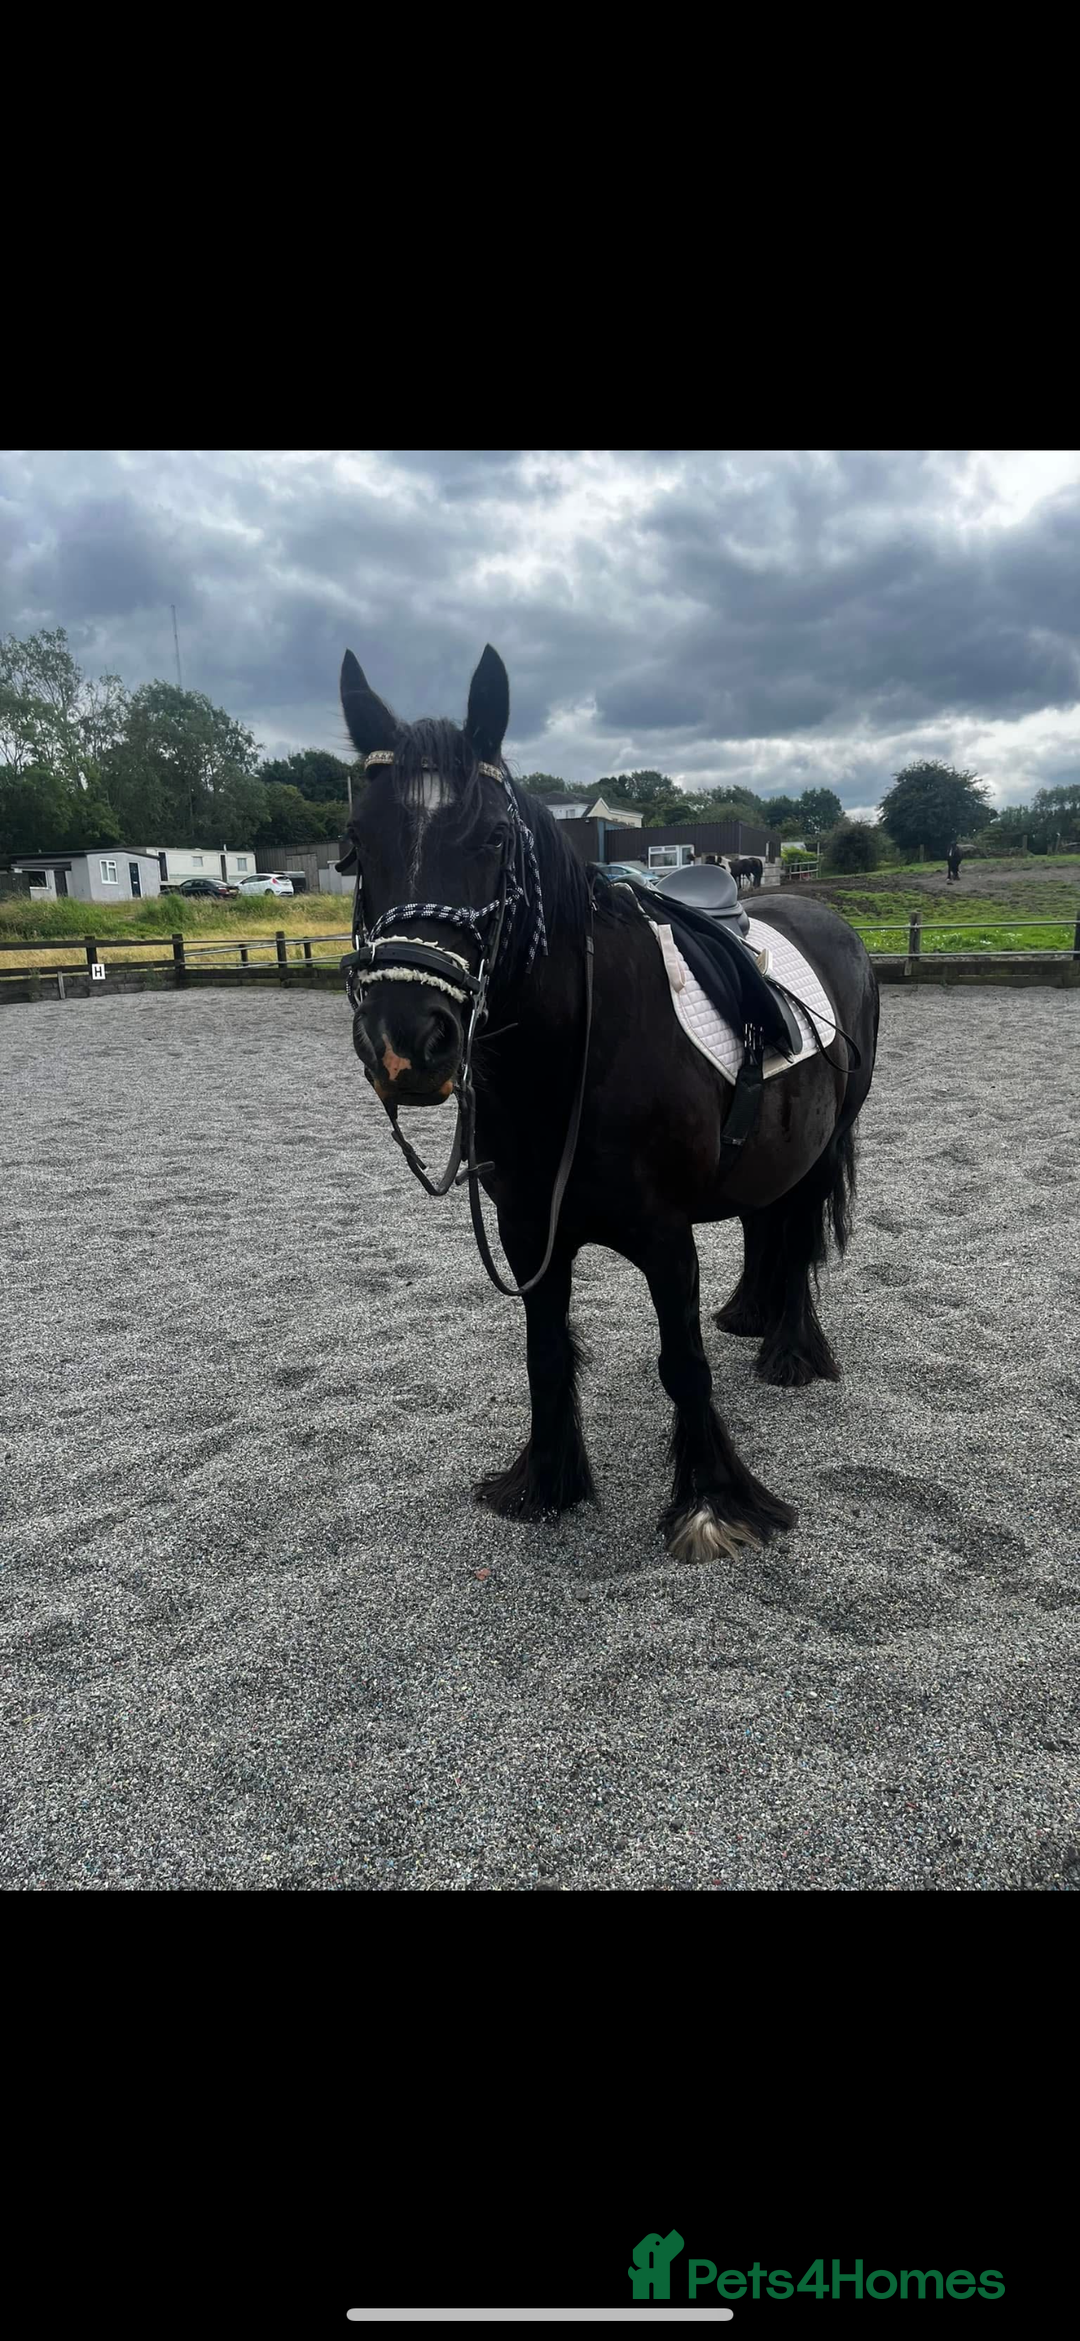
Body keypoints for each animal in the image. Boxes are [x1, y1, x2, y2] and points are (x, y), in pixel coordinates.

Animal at [339, 645, 880, 1564]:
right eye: (357, 845)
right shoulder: (528, 1234)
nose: (404, 1041)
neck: (575, 1057)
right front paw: (547, 1483)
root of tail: (823, 915)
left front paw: (712, 1504)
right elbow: (546, 1352)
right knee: (766, 1218)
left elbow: (682, 1364)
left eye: (491, 837)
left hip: (824, 1143)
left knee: (800, 1231)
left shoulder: (665, 1240)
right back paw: (750, 1313)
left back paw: (790, 1350)